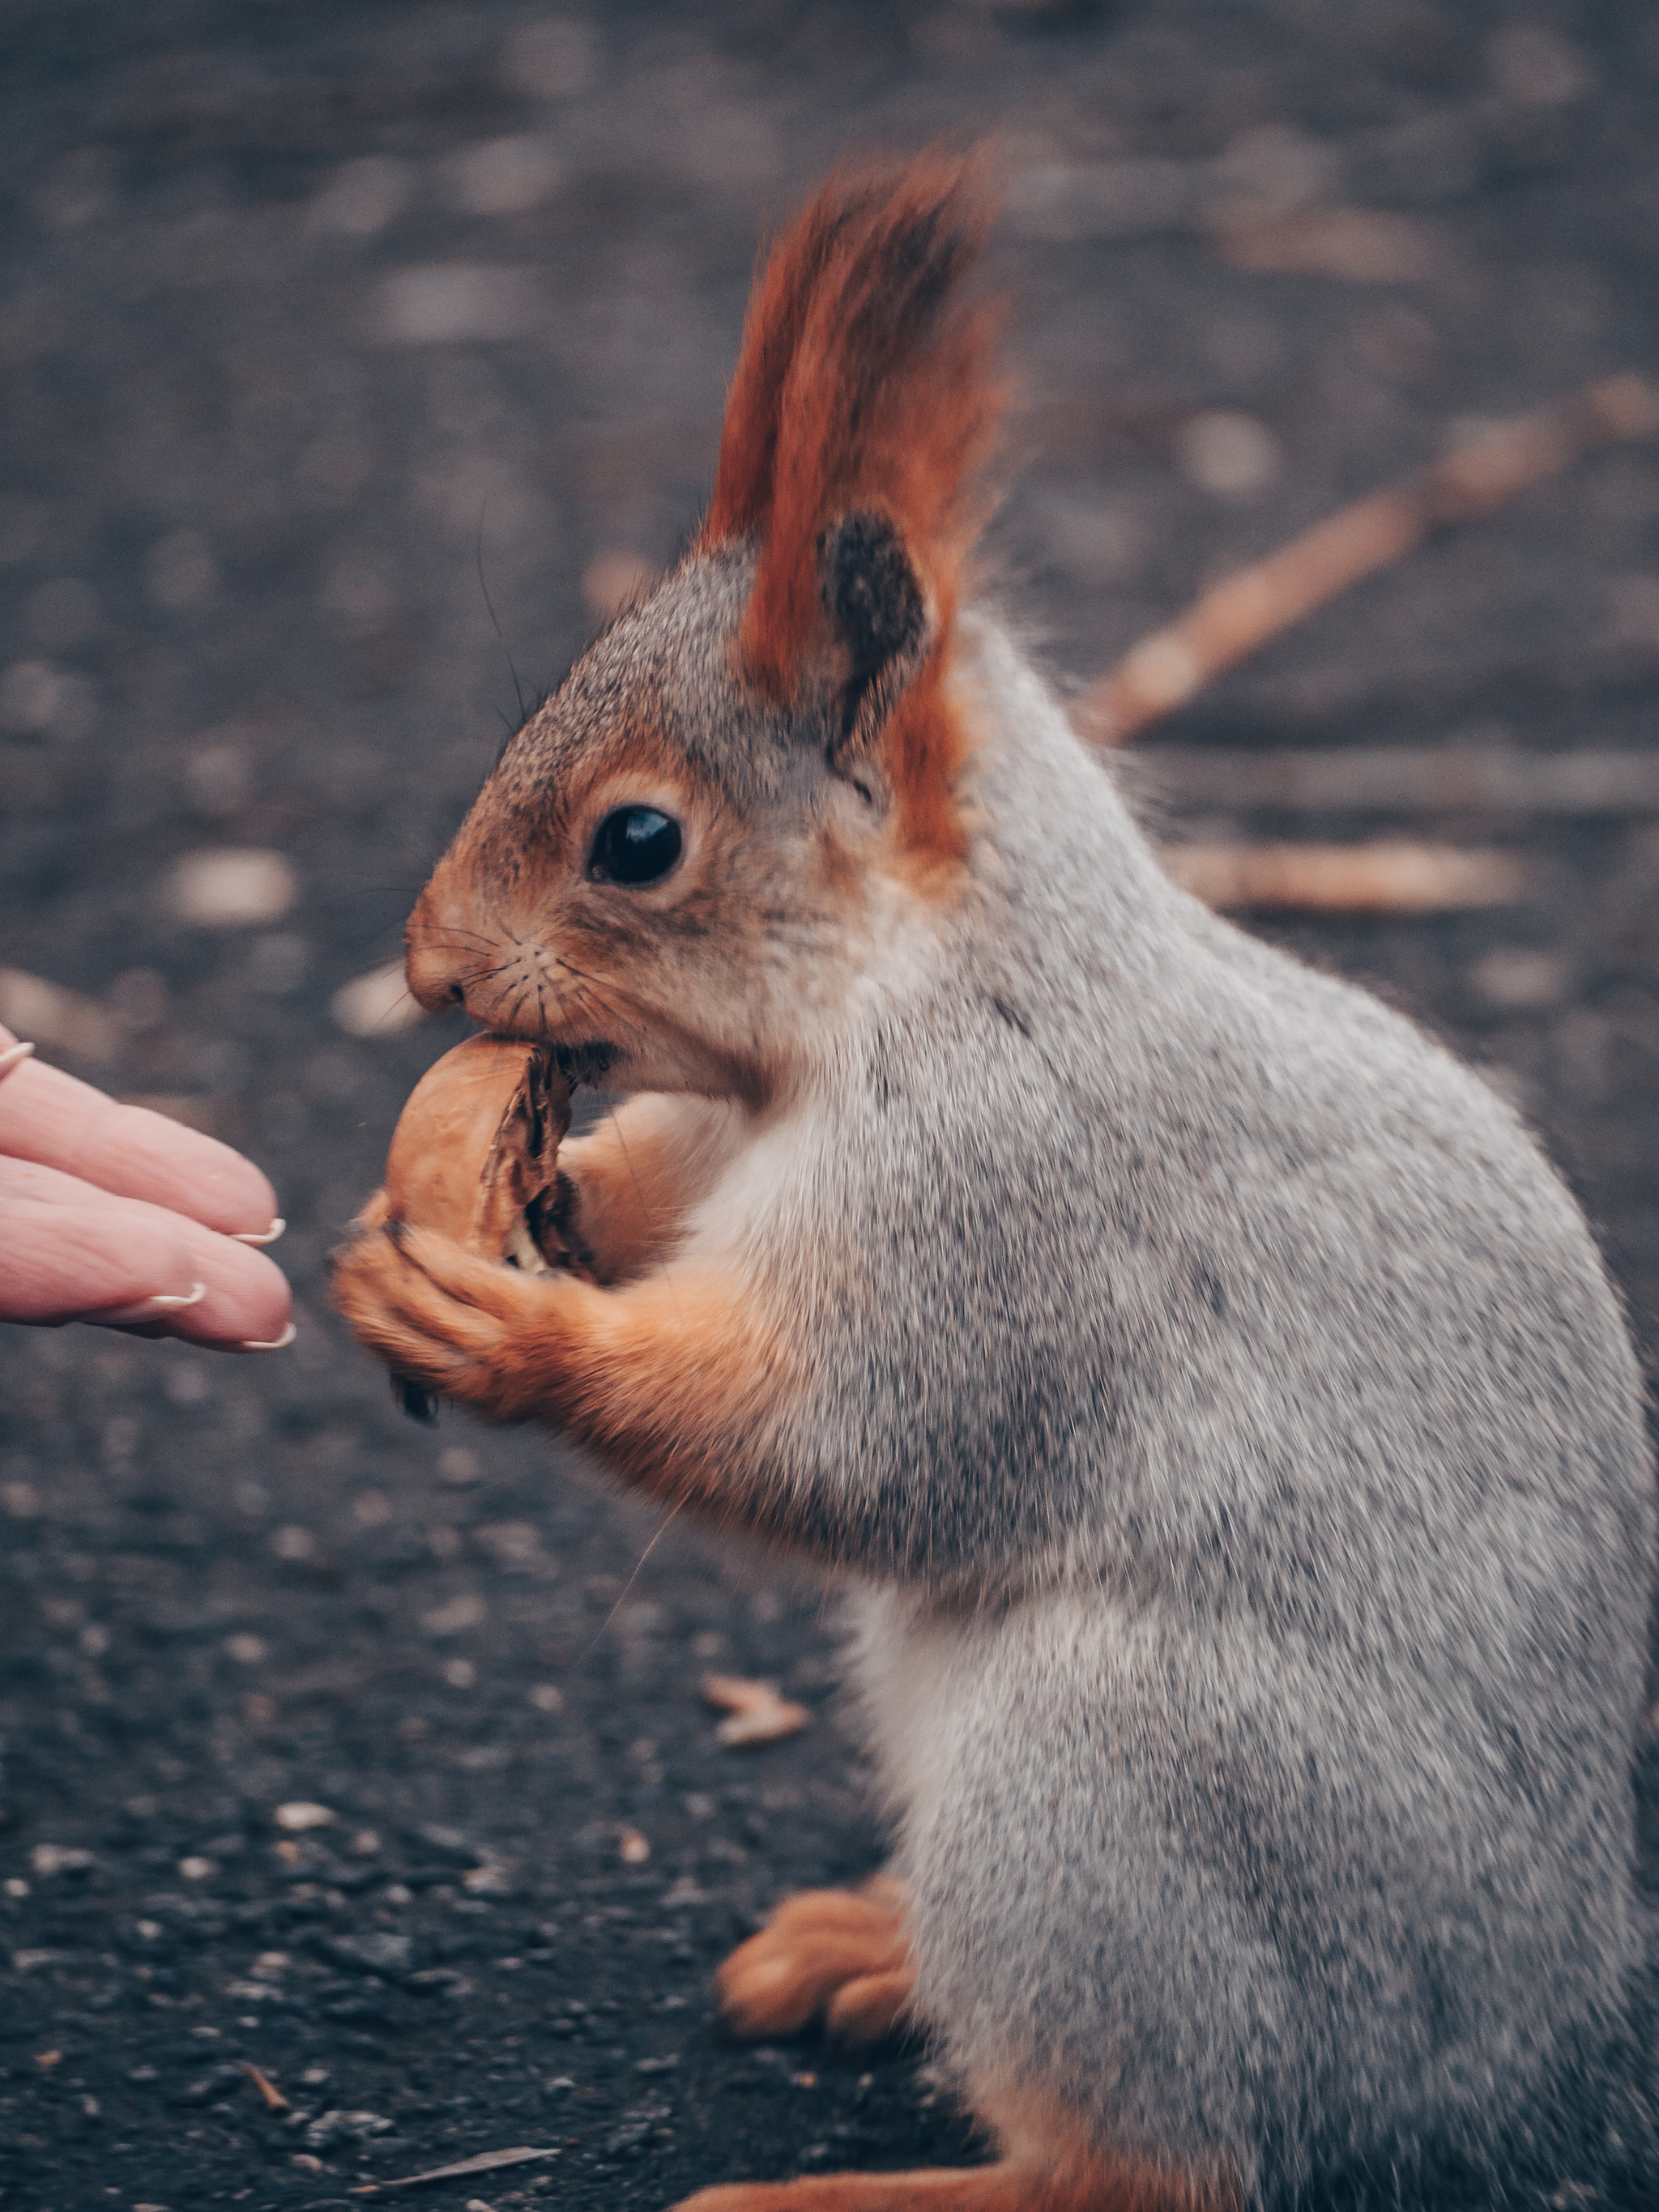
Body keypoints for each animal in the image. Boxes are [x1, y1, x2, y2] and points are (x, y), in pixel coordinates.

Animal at [331, 151, 1654, 2212]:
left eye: (634, 842)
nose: (426, 969)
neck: (924, 984)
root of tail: (1529, 2072)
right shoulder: (748, 1144)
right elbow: (670, 1200)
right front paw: (492, 1215)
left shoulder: (1005, 1204)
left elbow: (848, 1437)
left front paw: (500, 1330)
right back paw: (864, 1950)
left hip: (1104, 1798)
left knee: (1147, 2170)